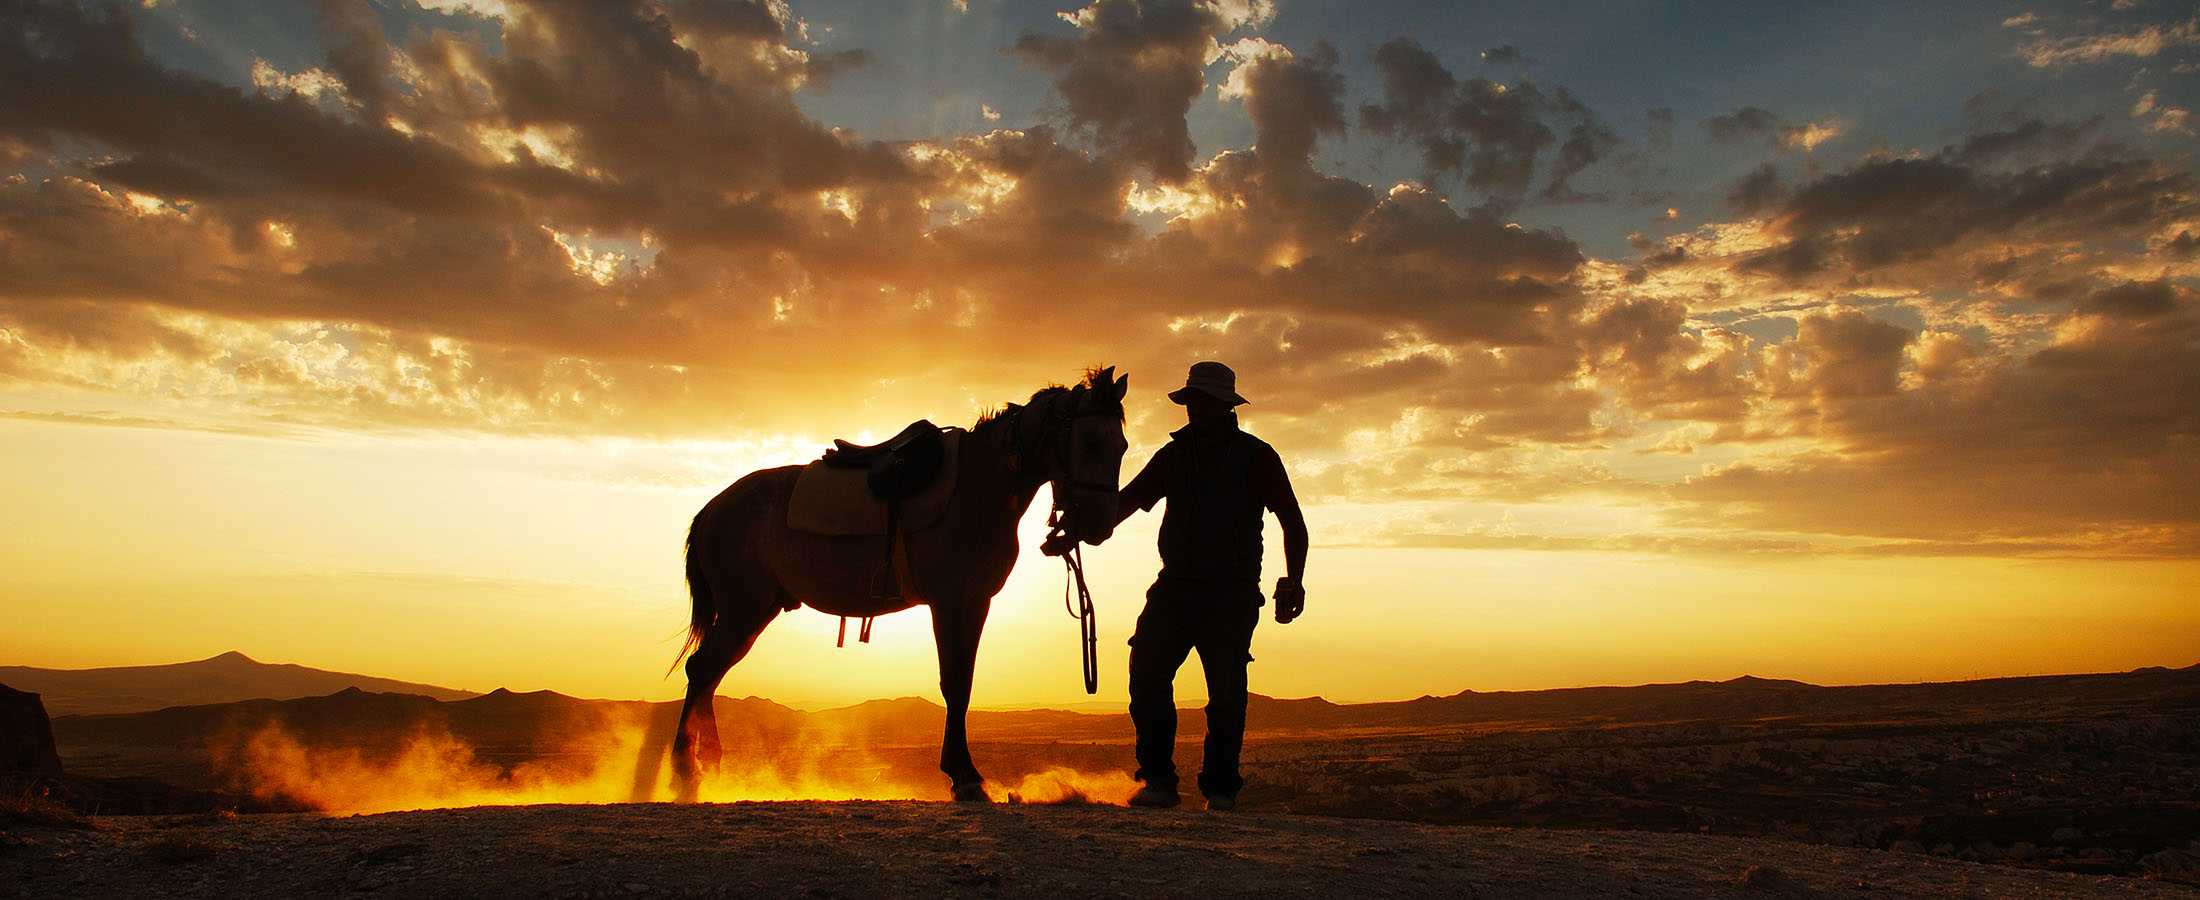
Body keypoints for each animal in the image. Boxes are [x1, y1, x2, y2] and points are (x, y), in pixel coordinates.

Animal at [671, 367, 1130, 801]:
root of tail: (712, 509)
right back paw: (684, 772)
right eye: (1092, 442)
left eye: (1123, 446)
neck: (979, 487)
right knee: (702, 670)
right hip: (743, 610)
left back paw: (709, 765)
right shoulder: (949, 602)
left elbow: (964, 681)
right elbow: (954, 682)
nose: (1099, 524)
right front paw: (963, 775)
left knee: (709, 675)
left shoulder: (975, 602)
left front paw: (963, 772)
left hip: (753, 611)